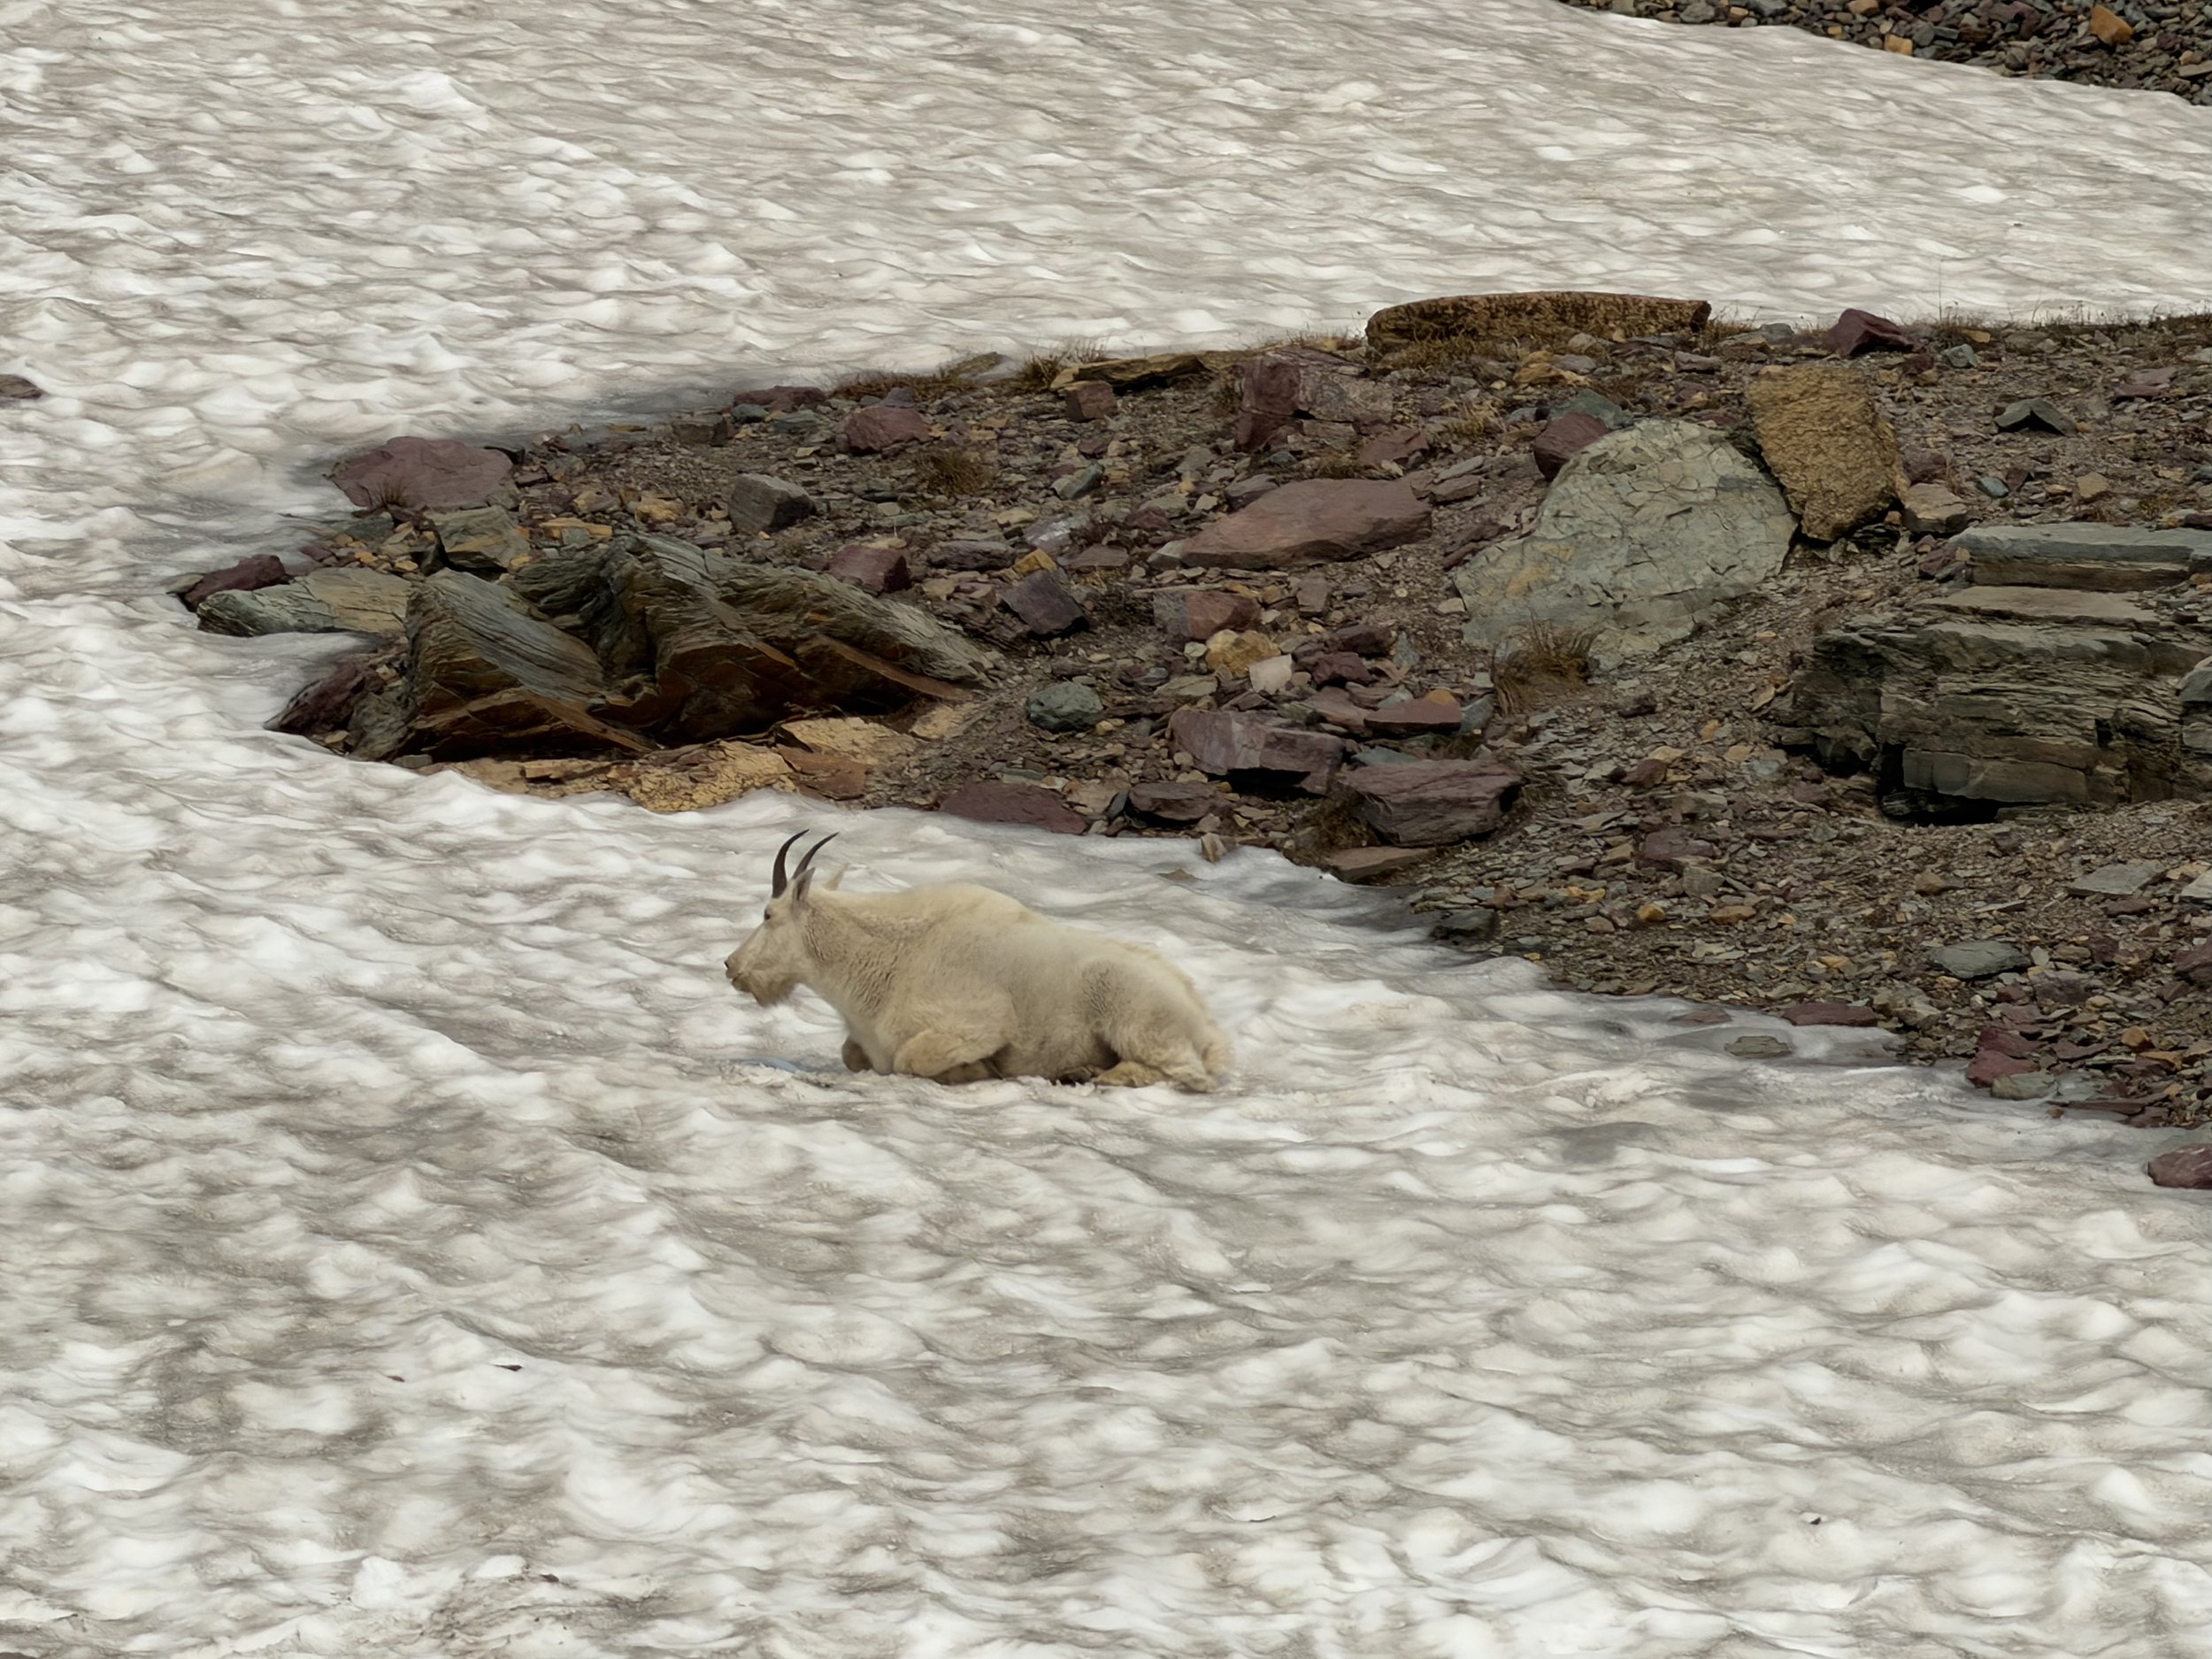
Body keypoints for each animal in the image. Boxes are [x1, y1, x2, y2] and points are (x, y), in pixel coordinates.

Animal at [725, 832, 1232, 1090]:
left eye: (768, 915)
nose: (732, 967)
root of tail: (1205, 1026)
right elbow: (852, 1055)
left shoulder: (979, 1024)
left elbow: (910, 1059)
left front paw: (977, 1071)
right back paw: (1082, 1071)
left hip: (1131, 1011)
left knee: (1187, 1075)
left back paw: (1103, 1076)